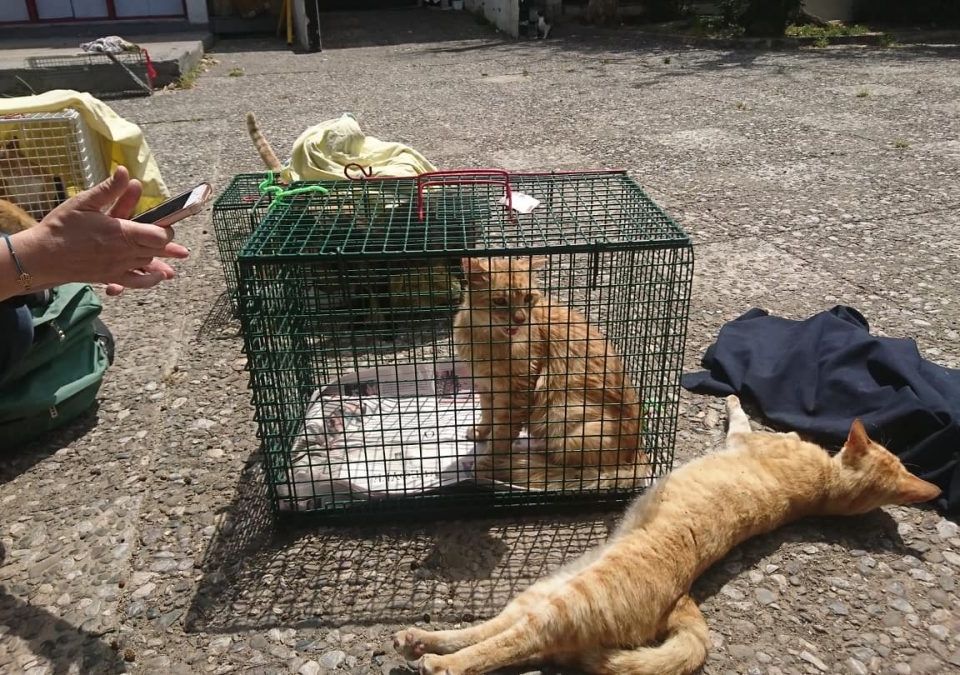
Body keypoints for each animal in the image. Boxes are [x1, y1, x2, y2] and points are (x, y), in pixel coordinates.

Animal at [394, 396, 940, 675]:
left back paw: (441, 663)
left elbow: (740, 417)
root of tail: (682, 600)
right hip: (542, 592)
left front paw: (733, 398)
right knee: (494, 630)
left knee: (510, 645)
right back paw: (421, 639)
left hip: (563, 606)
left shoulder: (746, 437)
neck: (826, 487)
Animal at [454, 256, 648, 488]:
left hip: (564, 418)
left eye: (528, 298)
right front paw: (481, 431)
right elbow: (487, 414)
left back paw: (525, 460)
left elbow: (500, 436)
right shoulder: (485, 385)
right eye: (500, 301)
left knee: (569, 469)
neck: (485, 339)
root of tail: (637, 450)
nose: (520, 319)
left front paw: (485, 465)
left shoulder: (516, 394)